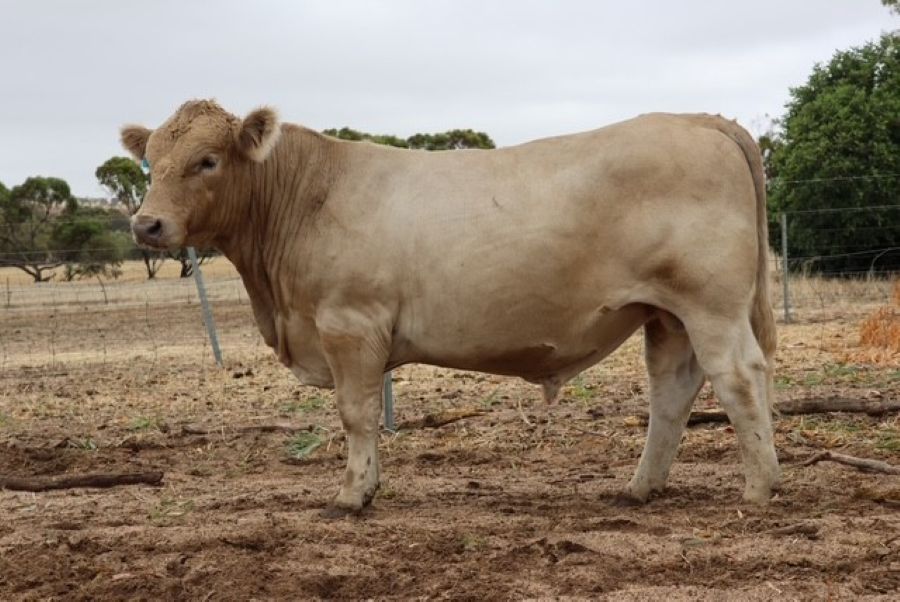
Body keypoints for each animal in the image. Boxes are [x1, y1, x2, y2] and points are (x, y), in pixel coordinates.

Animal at [121, 100, 780, 516]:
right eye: (150, 161)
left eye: (207, 160)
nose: (147, 224)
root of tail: (698, 119)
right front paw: (368, 487)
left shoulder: (349, 325)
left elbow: (356, 414)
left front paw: (350, 497)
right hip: (665, 315)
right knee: (673, 391)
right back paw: (640, 488)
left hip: (710, 305)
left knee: (739, 376)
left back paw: (759, 489)